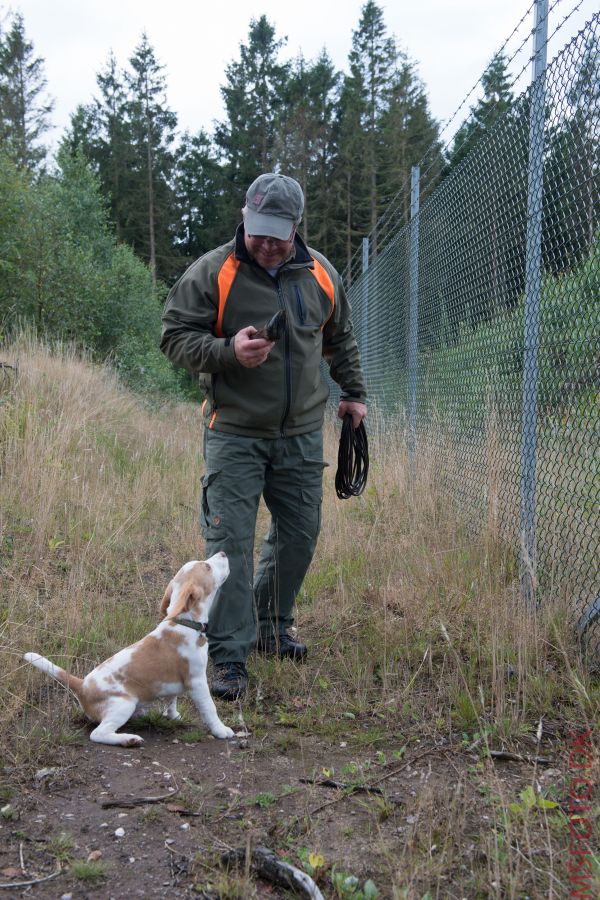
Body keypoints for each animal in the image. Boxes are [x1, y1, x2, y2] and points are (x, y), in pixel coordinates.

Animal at [23, 552, 234, 748]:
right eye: (207, 567)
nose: (223, 553)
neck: (184, 622)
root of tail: (82, 685)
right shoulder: (197, 682)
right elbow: (210, 708)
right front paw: (220, 730)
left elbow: (171, 699)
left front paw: (173, 716)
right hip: (123, 705)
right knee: (98, 734)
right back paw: (128, 739)